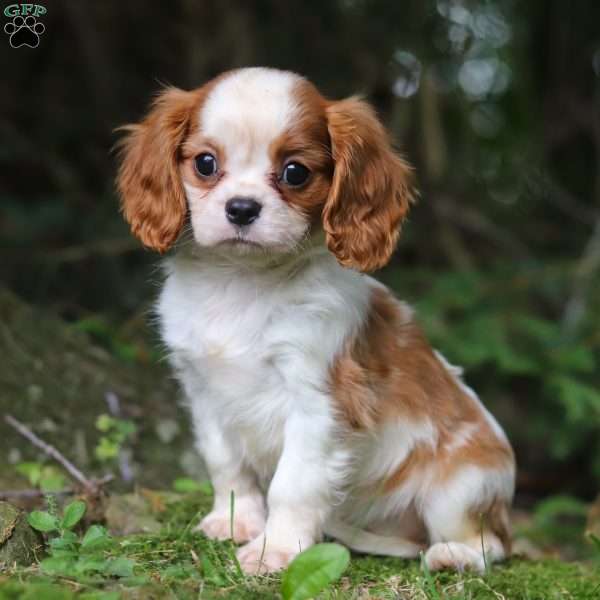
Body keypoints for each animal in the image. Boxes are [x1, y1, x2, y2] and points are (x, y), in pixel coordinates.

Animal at [118, 68, 516, 576]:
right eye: (205, 164)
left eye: (295, 172)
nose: (242, 208)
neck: (241, 281)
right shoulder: (204, 393)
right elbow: (226, 463)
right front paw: (235, 521)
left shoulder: (318, 404)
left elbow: (292, 485)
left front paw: (275, 549)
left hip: (461, 487)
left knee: (493, 542)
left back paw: (455, 555)